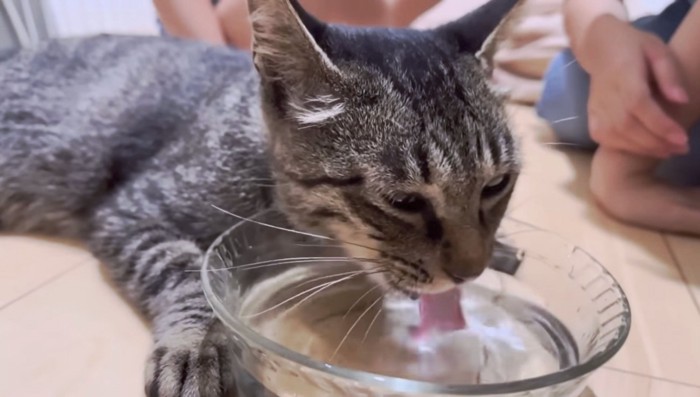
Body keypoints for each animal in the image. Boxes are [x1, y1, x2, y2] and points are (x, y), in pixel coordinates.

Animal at [0, 0, 520, 392]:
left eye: (497, 185)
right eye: (403, 202)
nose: (470, 270)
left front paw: (501, 250)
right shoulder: (132, 209)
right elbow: (183, 268)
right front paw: (196, 345)